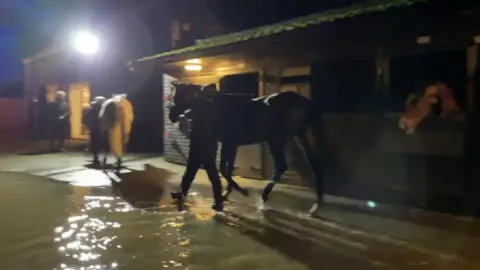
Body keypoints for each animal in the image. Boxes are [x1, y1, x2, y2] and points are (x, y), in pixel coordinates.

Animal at [167, 81, 324, 212]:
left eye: (177, 97)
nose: (171, 116)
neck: (215, 106)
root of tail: (300, 100)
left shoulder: (230, 143)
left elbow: (224, 170)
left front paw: (240, 191)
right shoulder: (230, 144)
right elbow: (227, 169)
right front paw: (226, 194)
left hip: (276, 139)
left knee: (284, 165)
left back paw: (265, 197)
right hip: (294, 138)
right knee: (311, 163)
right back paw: (316, 203)